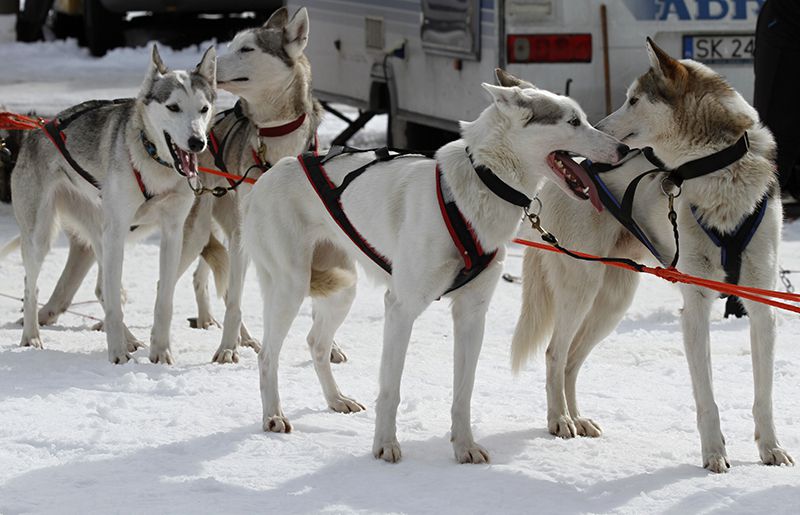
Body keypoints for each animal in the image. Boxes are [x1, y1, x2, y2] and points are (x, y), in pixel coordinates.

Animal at [13, 46, 219, 364]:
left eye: (203, 109)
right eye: (173, 107)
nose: (197, 142)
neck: (152, 160)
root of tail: (36, 129)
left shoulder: (173, 232)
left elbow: (164, 299)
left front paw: (161, 351)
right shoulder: (118, 230)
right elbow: (113, 305)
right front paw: (117, 354)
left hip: (101, 235)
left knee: (103, 289)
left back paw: (130, 339)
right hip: (43, 237)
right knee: (31, 286)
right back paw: (32, 337)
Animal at [241, 71, 628, 464]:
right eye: (573, 121)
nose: (623, 150)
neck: (481, 181)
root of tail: (269, 174)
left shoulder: (472, 314)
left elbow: (463, 392)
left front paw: (465, 445)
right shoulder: (400, 308)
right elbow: (391, 389)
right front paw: (385, 445)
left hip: (342, 289)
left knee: (317, 344)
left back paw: (336, 400)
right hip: (291, 287)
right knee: (268, 356)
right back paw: (273, 415)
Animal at [512, 38, 792, 474]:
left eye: (633, 99)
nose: (599, 131)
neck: (717, 172)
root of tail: (565, 174)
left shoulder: (761, 301)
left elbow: (764, 395)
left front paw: (771, 448)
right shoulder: (696, 301)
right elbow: (706, 397)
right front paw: (714, 453)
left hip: (613, 301)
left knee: (572, 360)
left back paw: (577, 417)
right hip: (582, 290)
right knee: (555, 353)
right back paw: (559, 419)